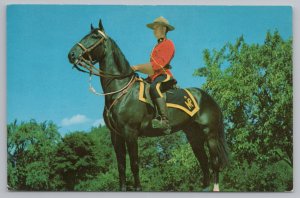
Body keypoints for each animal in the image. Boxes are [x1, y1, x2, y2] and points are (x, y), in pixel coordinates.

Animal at [67, 19, 227, 190]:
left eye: (95, 36)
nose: (71, 54)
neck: (120, 91)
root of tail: (208, 98)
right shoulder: (116, 136)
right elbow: (121, 166)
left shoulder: (130, 133)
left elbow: (134, 165)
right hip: (194, 136)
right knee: (203, 162)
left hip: (210, 134)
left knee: (214, 163)